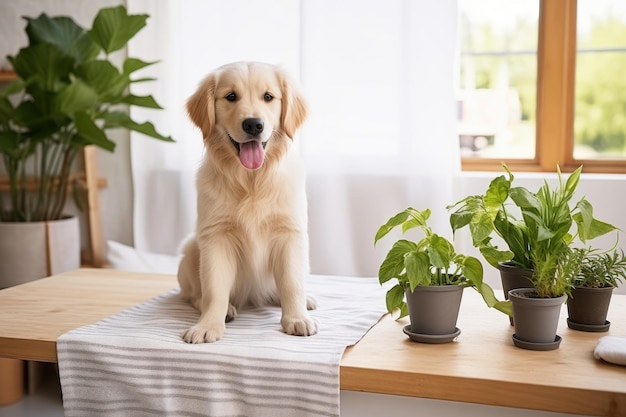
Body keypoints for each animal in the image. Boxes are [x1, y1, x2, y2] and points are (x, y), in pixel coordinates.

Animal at [176, 61, 316, 342]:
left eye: (268, 97)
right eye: (231, 96)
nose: (253, 125)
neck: (251, 181)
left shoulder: (290, 233)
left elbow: (291, 284)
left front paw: (297, 319)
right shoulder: (215, 236)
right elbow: (214, 290)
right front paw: (208, 325)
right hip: (191, 250)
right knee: (195, 294)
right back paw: (226, 309)